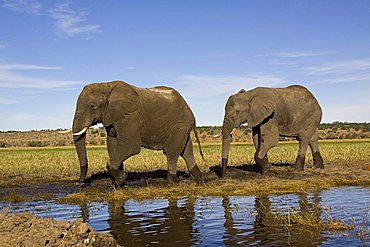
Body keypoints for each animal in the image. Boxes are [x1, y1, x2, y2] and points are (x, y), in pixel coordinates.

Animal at [61, 80, 204, 185]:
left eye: (92, 106)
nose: (80, 183)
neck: (106, 85)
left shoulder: (129, 118)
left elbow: (130, 147)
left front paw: (122, 179)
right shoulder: (113, 118)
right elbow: (112, 145)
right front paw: (116, 182)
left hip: (180, 126)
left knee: (171, 152)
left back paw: (172, 182)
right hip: (182, 128)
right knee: (186, 151)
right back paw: (199, 179)